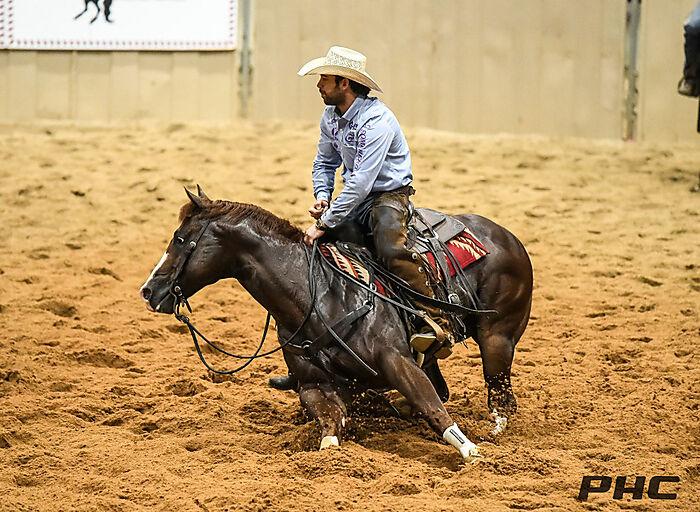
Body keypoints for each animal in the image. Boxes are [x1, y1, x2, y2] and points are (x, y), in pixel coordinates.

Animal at [139, 187, 533, 460]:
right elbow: (330, 428)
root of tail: (505, 235)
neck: (316, 294)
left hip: (497, 339)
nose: (148, 290)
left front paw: (470, 451)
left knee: (499, 397)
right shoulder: (313, 384)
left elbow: (431, 405)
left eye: (180, 239)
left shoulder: (397, 360)